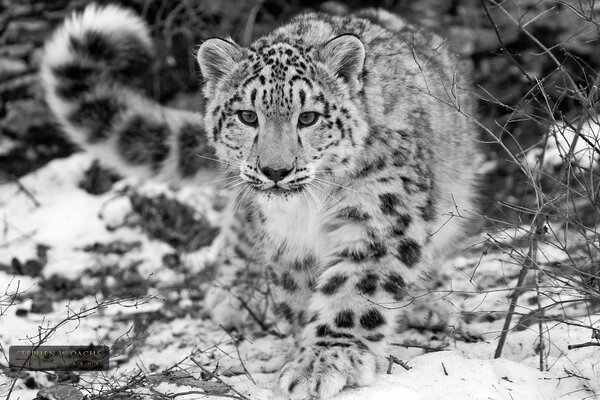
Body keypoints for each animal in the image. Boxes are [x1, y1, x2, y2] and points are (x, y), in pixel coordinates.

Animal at [41, 3, 478, 400]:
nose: (275, 170)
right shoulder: (286, 239)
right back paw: (233, 295)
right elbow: (297, 295)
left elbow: (355, 287)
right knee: (238, 230)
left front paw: (325, 360)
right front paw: (303, 351)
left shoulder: (378, 214)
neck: (310, 210)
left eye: (309, 117)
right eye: (248, 117)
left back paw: (426, 306)